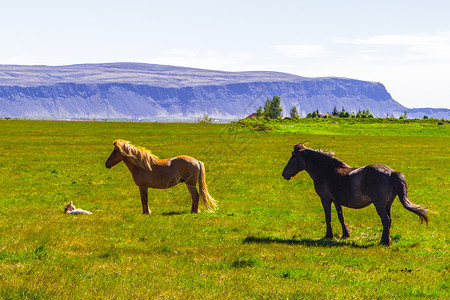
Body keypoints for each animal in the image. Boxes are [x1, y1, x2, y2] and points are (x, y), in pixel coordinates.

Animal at [282, 144, 428, 246]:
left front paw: (328, 235)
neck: (327, 171)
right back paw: (384, 239)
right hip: (388, 204)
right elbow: (341, 217)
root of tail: (391, 173)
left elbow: (328, 217)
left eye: (293, 157)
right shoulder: (336, 201)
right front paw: (345, 234)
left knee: (385, 220)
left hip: (379, 204)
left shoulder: (325, 199)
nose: (284, 174)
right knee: (388, 220)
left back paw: (385, 242)